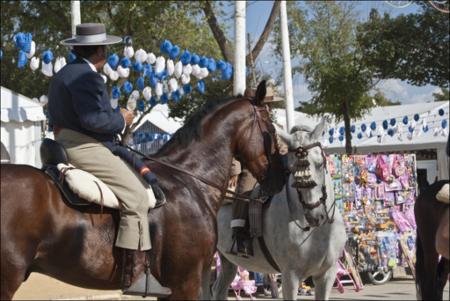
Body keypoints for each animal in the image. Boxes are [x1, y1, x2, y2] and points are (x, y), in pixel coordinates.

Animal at [207, 118, 348, 298]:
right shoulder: (290, 276)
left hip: (227, 261)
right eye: (293, 169)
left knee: (218, 289)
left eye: (319, 163)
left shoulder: (326, 275)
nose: (315, 216)